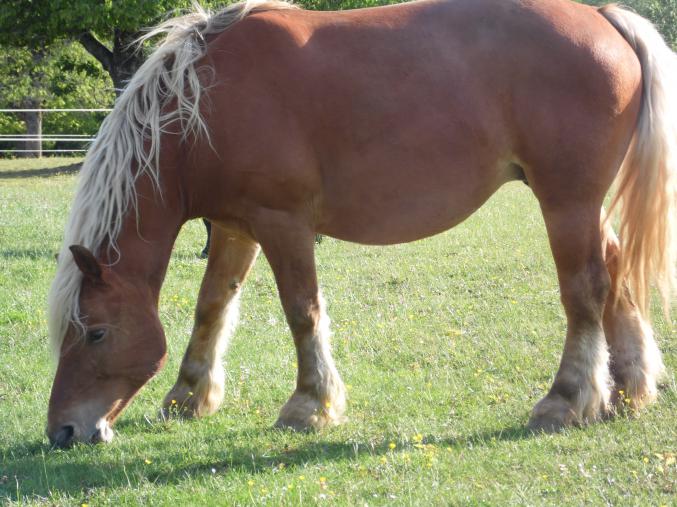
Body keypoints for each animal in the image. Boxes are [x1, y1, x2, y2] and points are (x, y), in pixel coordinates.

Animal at [46, 0, 676, 447]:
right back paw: (629, 389)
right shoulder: (234, 227)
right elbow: (212, 307)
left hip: (566, 202)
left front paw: (310, 405)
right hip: (582, 206)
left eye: (95, 332)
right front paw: (188, 396)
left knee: (585, 289)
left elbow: (302, 311)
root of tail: (603, 17)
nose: (63, 432)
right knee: (616, 271)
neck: (206, 99)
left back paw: (567, 400)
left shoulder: (283, 223)